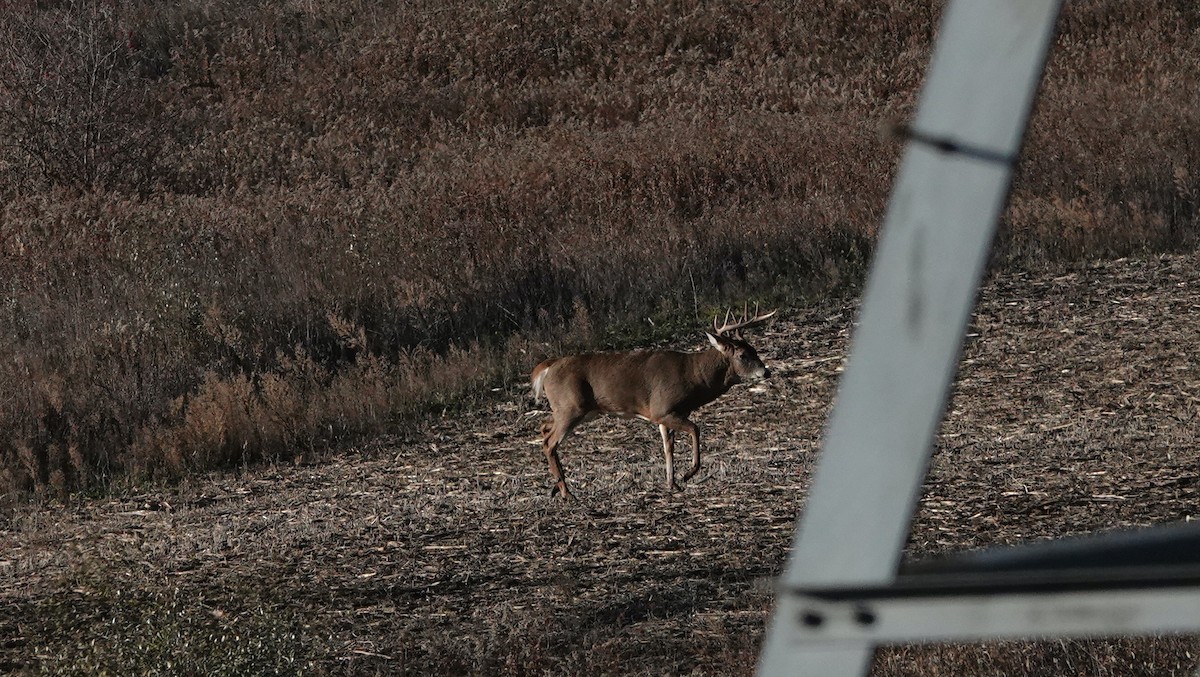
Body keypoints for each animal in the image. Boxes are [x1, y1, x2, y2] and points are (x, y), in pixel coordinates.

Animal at [530, 307, 776, 499]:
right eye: (743, 355)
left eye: (755, 350)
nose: (766, 372)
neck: (694, 376)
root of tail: (548, 366)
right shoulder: (662, 409)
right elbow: (695, 430)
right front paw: (688, 474)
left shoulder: (666, 416)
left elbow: (668, 447)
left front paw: (672, 483)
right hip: (571, 407)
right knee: (550, 442)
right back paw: (567, 493)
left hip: (574, 409)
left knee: (544, 428)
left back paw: (557, 488)